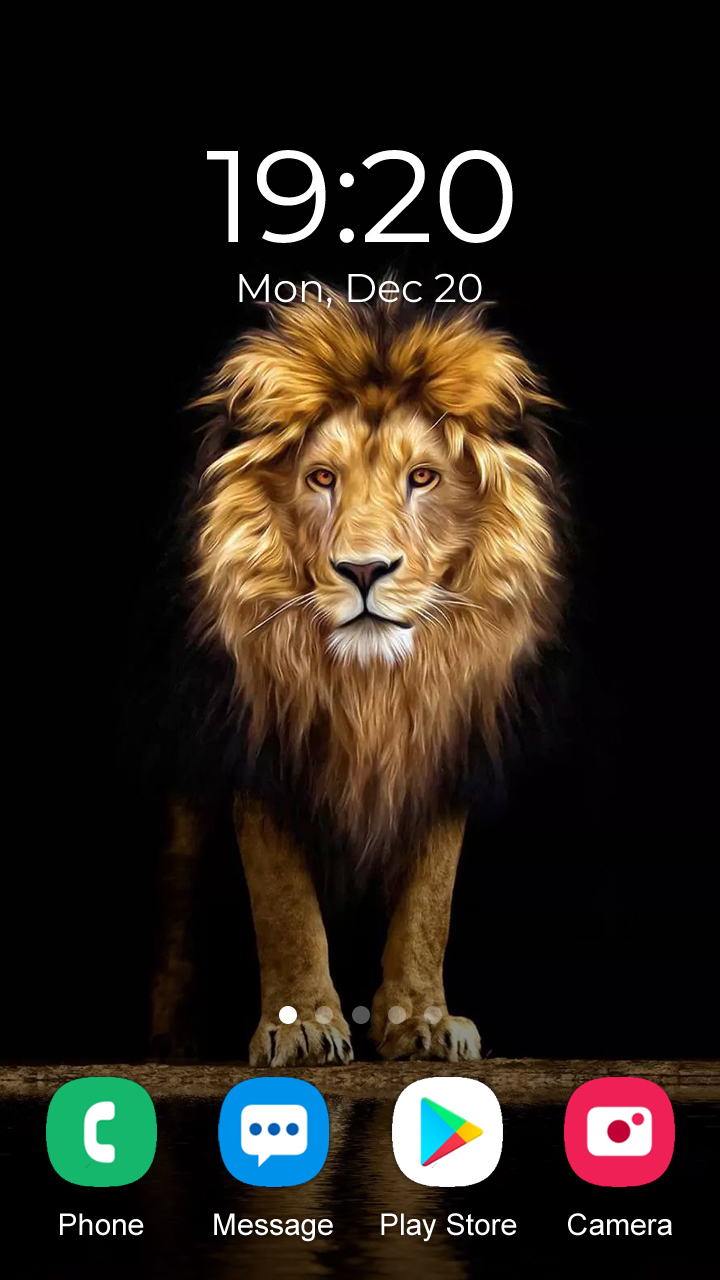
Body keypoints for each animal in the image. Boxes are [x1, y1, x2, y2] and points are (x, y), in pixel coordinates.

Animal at [149, 287, 565, 1066]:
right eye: (322, 478)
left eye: (423, 477)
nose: (365, 570)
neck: (370, 688)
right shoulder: (258, 743)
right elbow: (283, 900)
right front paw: (302, 1025)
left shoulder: (443, 742)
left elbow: (431, 901)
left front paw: (423, 1020)